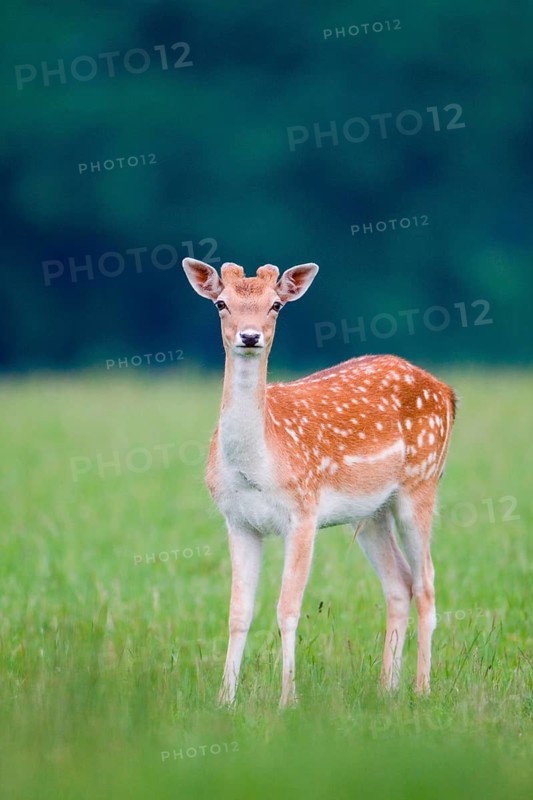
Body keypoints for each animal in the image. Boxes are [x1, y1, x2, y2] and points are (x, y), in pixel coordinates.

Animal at [182, 258, 456, 708]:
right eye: (221, 303)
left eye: (276, 305)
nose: (250, 336)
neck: (258, 466)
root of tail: (448, 392)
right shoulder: (238, 520)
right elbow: (238, 612)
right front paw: (224, 700)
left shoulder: (303, 511)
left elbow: (287, 608)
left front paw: (287, 700)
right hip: (371, 512)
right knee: (400, 583)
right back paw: (386, 688)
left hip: (422, 482)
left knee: (428, 582)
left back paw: (421, 689)